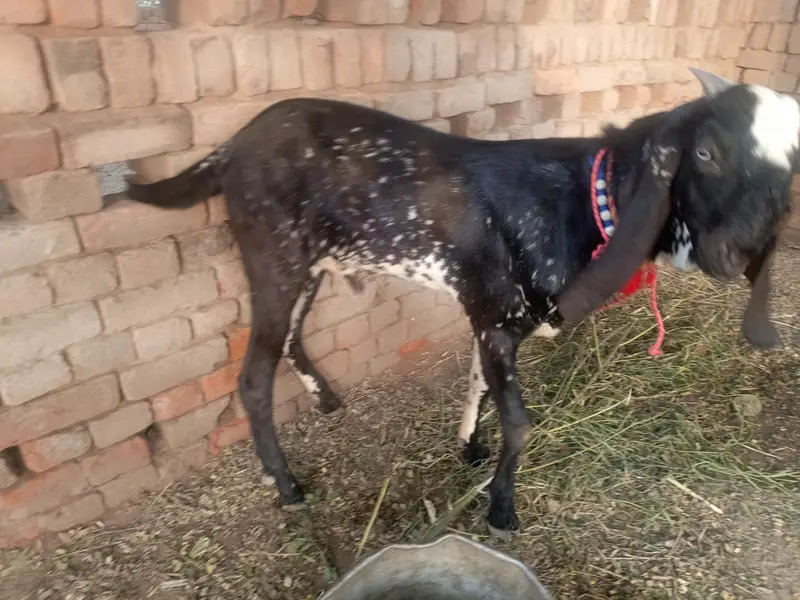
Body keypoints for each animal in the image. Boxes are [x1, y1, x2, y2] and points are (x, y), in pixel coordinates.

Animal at [126, 68, 797, 539]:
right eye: (705, 152)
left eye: (789, 168)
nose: (738, 250)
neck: (578, 198)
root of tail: (234, 144)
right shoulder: (497, 320)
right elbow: (520, 423)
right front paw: (501, 508)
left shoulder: (489, 319)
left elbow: (476, 383)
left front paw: (469, 447)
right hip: (274, 257)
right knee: (252, 377)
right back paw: (287, 484)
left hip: (309, 265)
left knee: (290, 335)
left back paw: (327, 399)